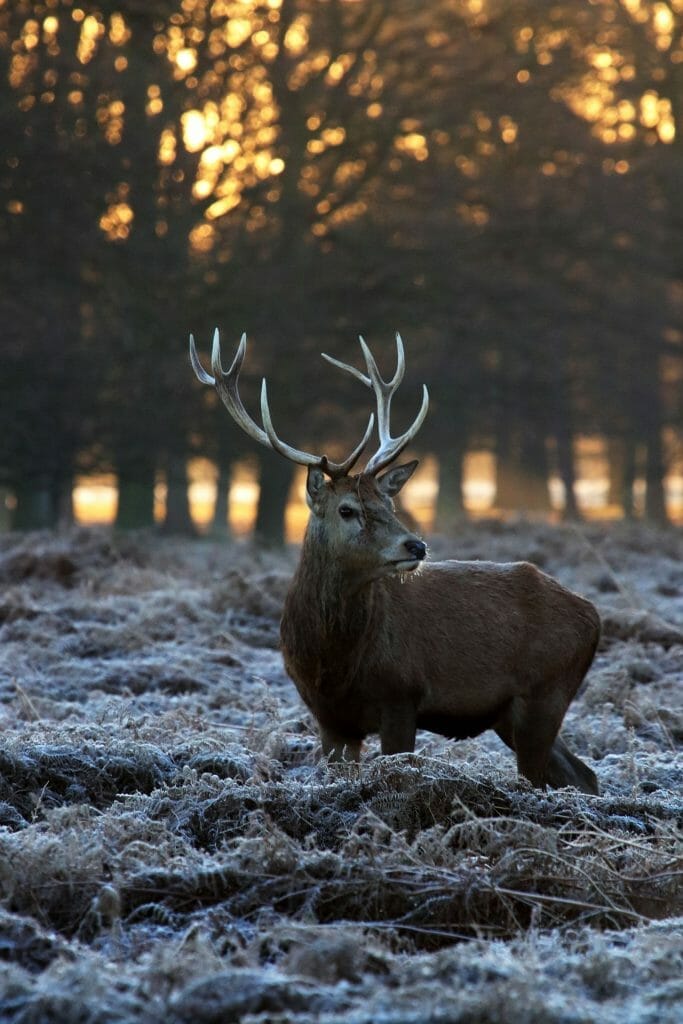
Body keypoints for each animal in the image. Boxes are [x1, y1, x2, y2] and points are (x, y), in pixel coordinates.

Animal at [189, 327, 602, 790]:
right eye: (347, 509)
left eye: (388, 503)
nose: (416, 546)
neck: (333, 664)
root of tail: (593, 616)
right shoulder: (329, 718)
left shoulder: (402, 694)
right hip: (511, 713)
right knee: (582, 773)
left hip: (545, 693)